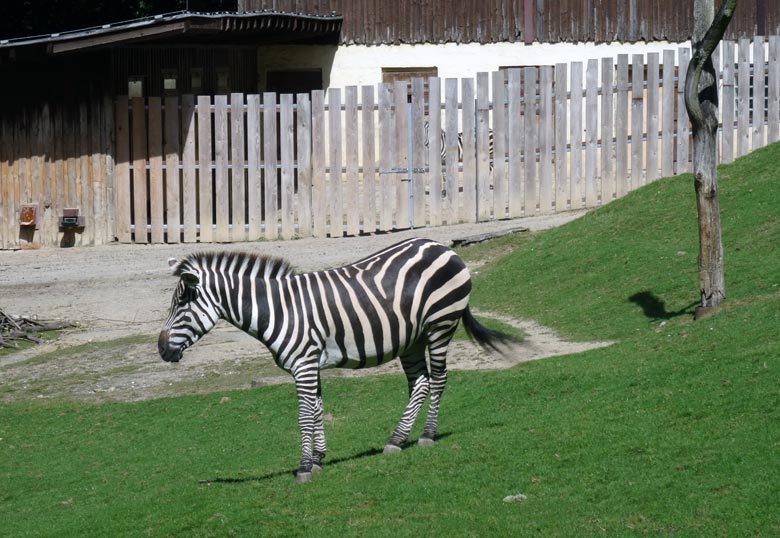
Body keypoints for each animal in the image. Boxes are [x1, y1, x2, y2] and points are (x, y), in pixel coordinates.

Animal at [159, 238, 512, 482]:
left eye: (183, 305)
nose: (161, 350)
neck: (280, 310)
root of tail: (441, 246)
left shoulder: (303, 363)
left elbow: (304, 416)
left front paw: (304, 467)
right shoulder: (309, 363)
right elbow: (317, 411)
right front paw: (318, 458)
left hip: (441, 325)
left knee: (438, 379)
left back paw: (427, 436)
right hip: (412, 339)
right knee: (420, 383)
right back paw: (396, 440)